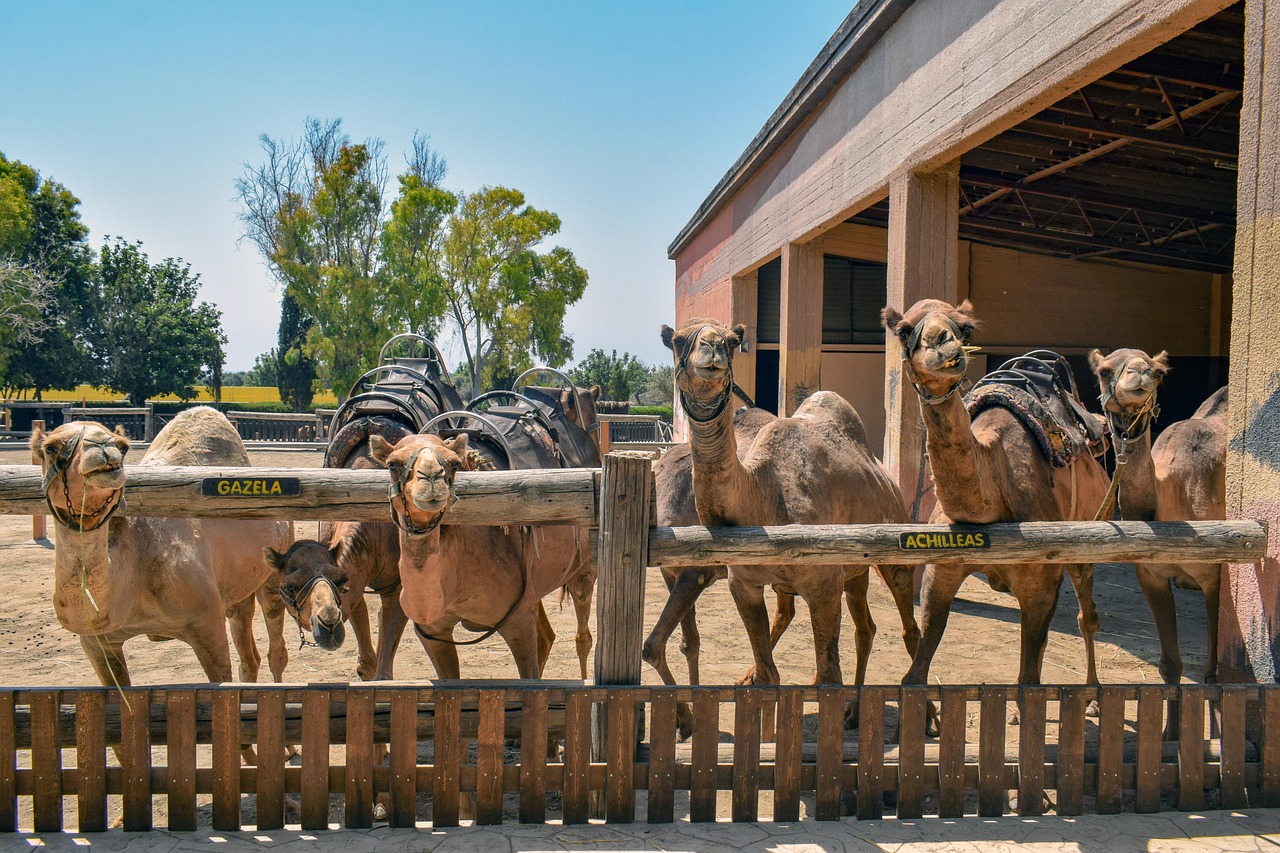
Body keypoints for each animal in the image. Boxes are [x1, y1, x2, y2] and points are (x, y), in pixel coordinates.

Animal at [31, 407, 293, 689]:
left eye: (123, 447)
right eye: (50, 447)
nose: (102, 446)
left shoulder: (207, 624)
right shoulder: (96, 642)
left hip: (275, 570)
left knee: (275, 645)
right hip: (239, 585)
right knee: (248, 652)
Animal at [369, 431, 595, 680]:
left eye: (454, 464)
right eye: (392, 464)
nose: (431, 477)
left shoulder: (517, 621)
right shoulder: (432, 632)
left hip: (583, 569)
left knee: (582, 635)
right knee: (546, 637)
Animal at [661, 319, 922, 717]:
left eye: (733, 342)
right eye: (677, 340)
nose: (712, 347)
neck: (764, 495)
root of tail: (887, 477)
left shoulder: (823, 583)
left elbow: (828, 676)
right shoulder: (744, 585)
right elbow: (770, 674)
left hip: (892, 544)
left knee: (909, 626)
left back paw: (926, 715)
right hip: (854, 569)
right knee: (866, 627)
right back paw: (853, 712)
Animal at [882, 300, 1110, 710]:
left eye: (966, 328)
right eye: (904, 330)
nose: (943, 344)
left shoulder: (1040, 581)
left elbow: (1028, 682)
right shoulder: (941, 572)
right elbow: (915, 673)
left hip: (1089, 534)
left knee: (1087, 618)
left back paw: (1093, 699)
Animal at [1089, 348, 1227, 736]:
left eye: (1159, 372)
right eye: (1104, 371)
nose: (1140, 374)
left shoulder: (1214, 575)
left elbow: (1212, 672)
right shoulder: (1150, 575)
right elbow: (1169, 664)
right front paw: (1169, 735)